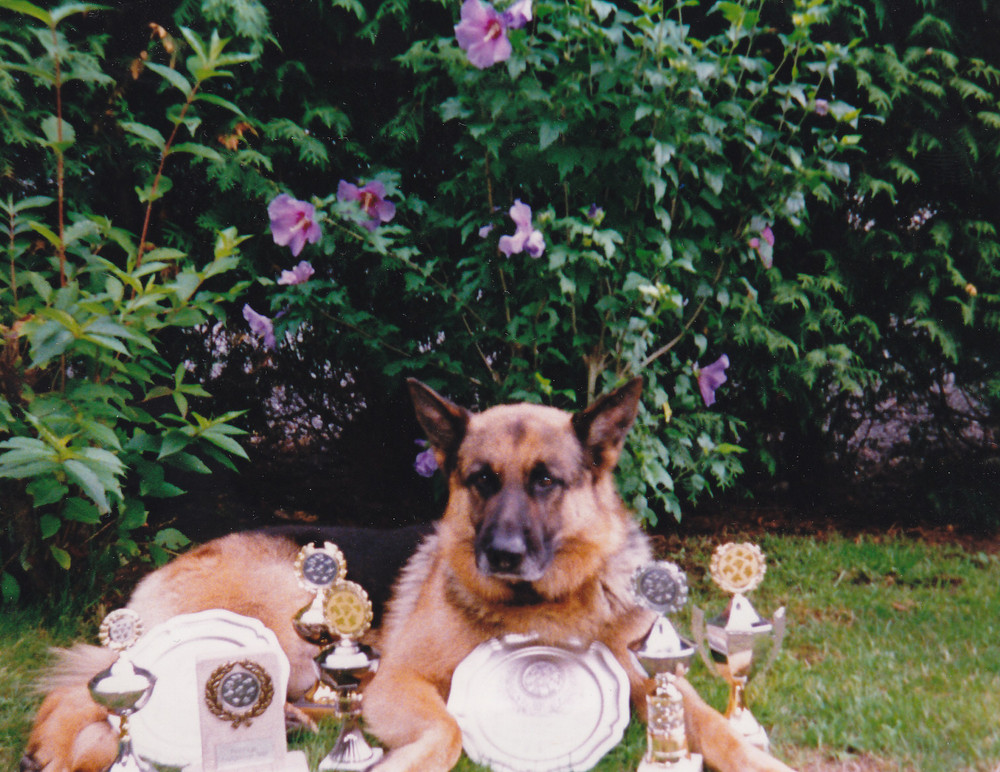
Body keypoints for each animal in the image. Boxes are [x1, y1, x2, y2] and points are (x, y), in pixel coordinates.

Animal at [21, 380, 796, 772]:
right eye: (481, 480)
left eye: (546, 481)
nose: (501, 554)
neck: (539, 607)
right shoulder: (398, 680)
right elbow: (448, 728)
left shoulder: (653, 677)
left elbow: (717, 727)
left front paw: (762, 760)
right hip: (267, 635)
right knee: (77, 695)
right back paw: (50, 752)